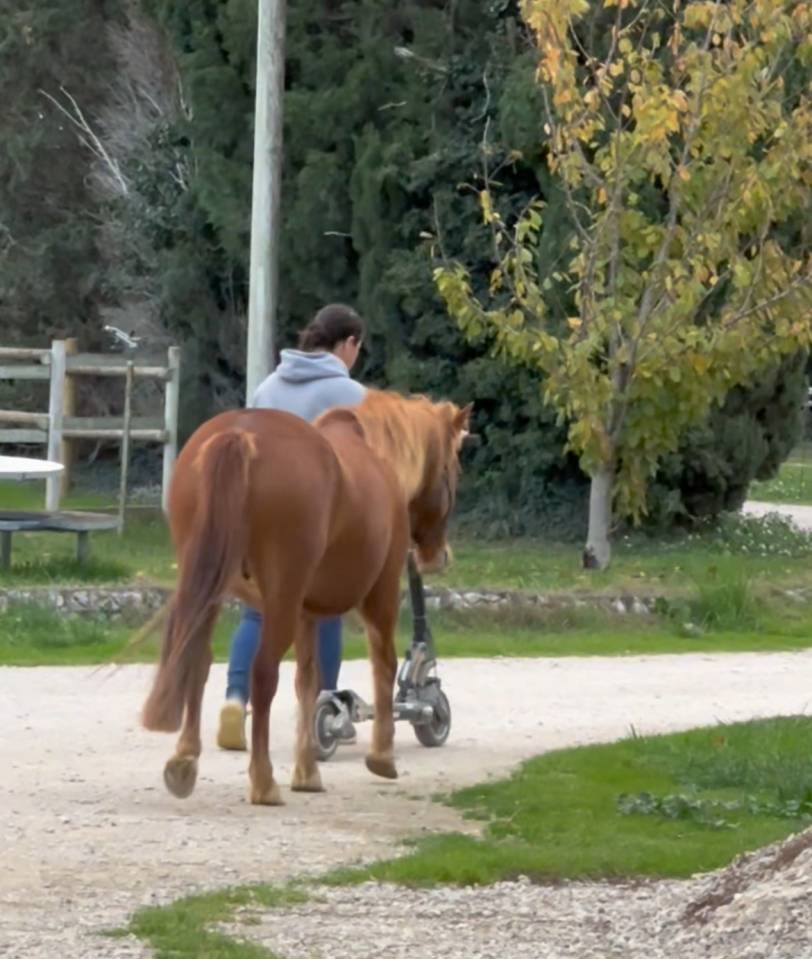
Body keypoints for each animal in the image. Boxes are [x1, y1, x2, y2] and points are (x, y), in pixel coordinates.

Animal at [141, 389, 472, 806]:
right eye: (453, 468)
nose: (437, 556)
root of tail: (239, 435)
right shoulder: (379, 595)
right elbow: (383, 664)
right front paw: (382, 756)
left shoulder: (306, 612)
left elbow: (307, 682)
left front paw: (307, 771)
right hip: (282, 600)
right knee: (262, 673)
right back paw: (263, 781)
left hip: (211, 589)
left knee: (197, 659)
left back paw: (184, 762)